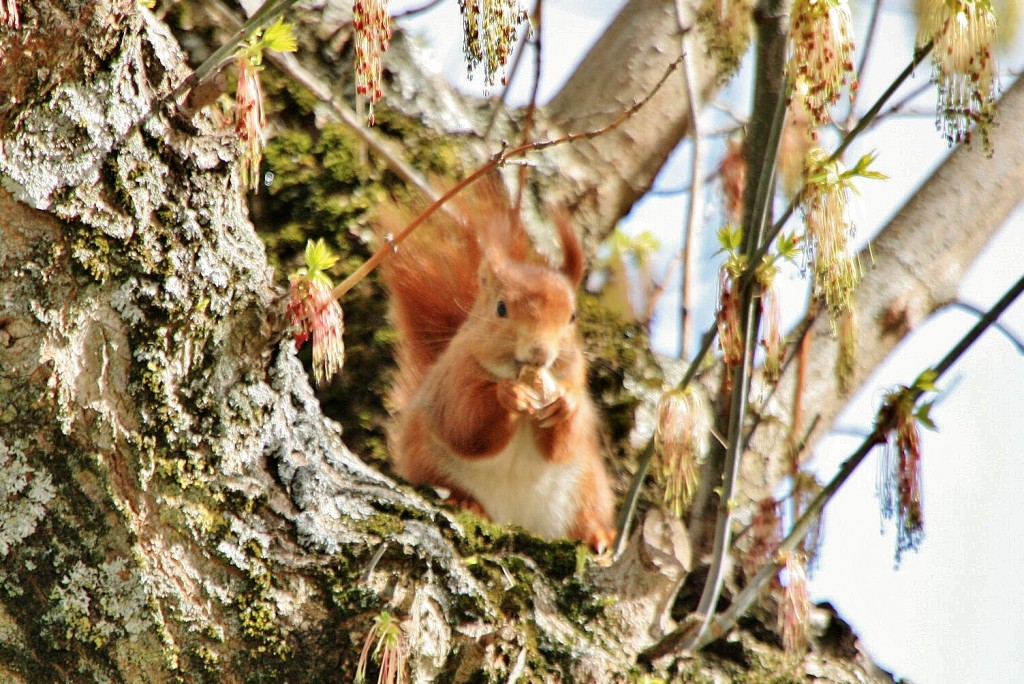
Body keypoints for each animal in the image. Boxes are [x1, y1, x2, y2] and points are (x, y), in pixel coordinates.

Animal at [378, 180, 610, 548]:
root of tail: (514, 517)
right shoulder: (455, 377)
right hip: (429, 462)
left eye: (572, 317)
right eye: (501, 309)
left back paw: (599, 537)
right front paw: (508, 396)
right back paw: (467, 503)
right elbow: (465, 424)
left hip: (588, 487)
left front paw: (564, 406)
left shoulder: (575, 379)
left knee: (587, 516)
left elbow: (564, 443)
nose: (539, 353)